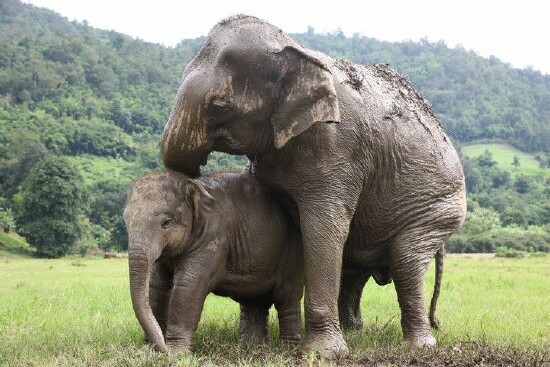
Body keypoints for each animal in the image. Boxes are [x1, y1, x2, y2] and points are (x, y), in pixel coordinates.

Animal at [123, 170, 304, 354]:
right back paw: (251, 347)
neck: (194, 184)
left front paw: (175, 354)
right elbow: (156, 286)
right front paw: (150, 351)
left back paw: (288, 349)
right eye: (126, 221)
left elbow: (188, 286)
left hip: (292, 254)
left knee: (286, 297)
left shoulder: (214, 237)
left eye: (166, 222)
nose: (162, 346)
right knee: (254, 300)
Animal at [162, 15, 468, 360]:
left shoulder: (337, 147)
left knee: (406, 259)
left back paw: (420, 344)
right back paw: (356, 333)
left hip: (439, 208)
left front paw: (323, 354)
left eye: (220, 105)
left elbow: (324, 227)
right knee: (354, 267)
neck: (297, 50)